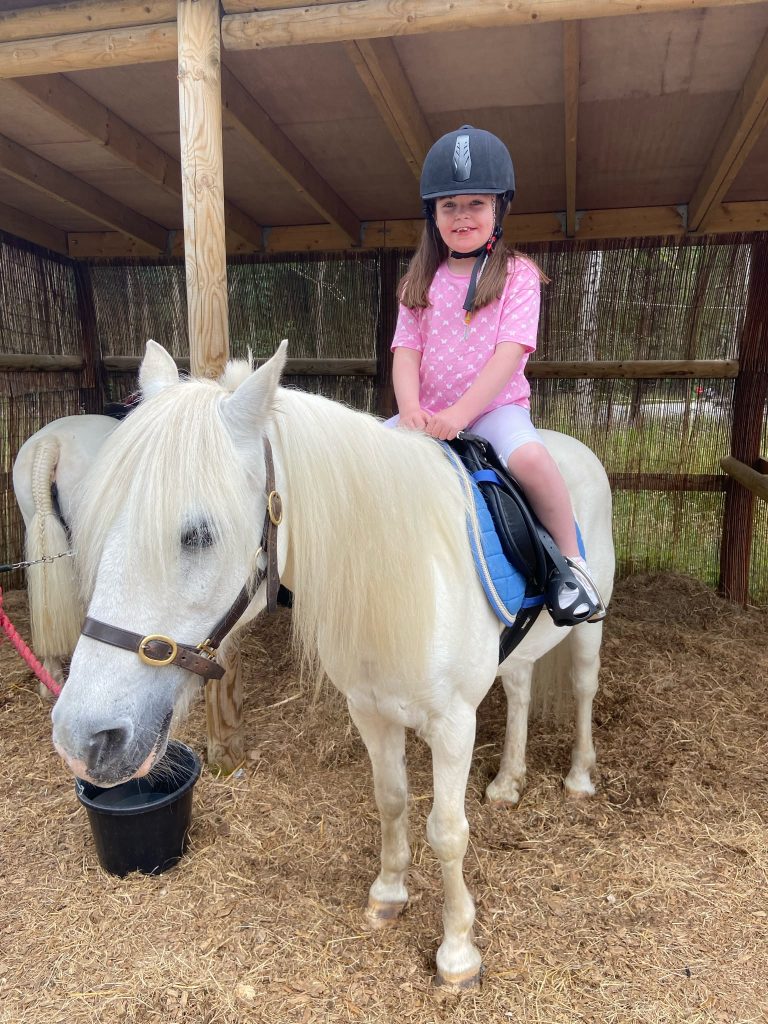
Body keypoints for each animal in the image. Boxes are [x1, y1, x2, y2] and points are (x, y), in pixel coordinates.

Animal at [51, 340, 615, 989]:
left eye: (199, 534)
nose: (81, 737)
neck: (401, 574)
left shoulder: (453, 724)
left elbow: (447, 831)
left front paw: (457, 953)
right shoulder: (370, 712)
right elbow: (391, 799)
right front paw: (388, 896)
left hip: (589, 633)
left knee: (583, 689)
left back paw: (578, 777)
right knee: (520, 689)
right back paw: (507, 782)